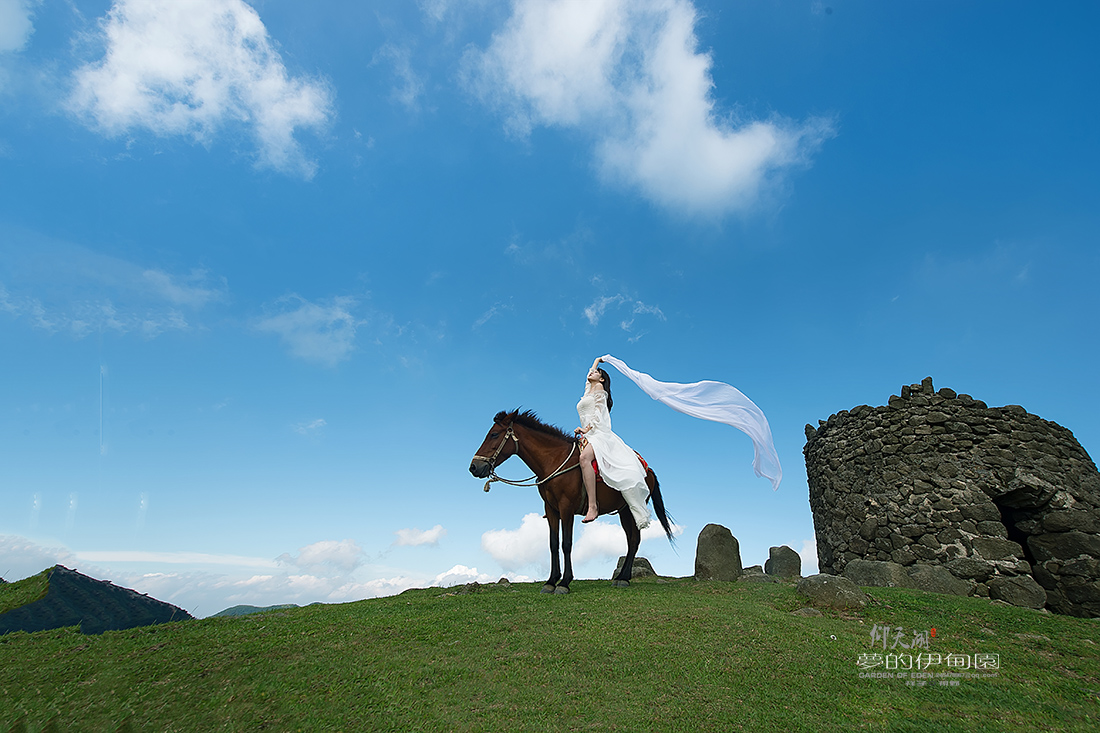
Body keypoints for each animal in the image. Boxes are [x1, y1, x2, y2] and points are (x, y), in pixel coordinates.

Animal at [466, 407, 668, 589]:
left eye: (494, 434)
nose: (474, 467)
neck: (554, 461)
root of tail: (648, 470)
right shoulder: (551, 509)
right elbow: (553, 543)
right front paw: (551, 581)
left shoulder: (566, 508)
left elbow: (566, 543)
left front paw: (564, 582)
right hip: (623, 511)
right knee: (631, 540)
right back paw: (621, 577)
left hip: (631, 508)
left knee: (634, 540)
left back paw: (624, 578)